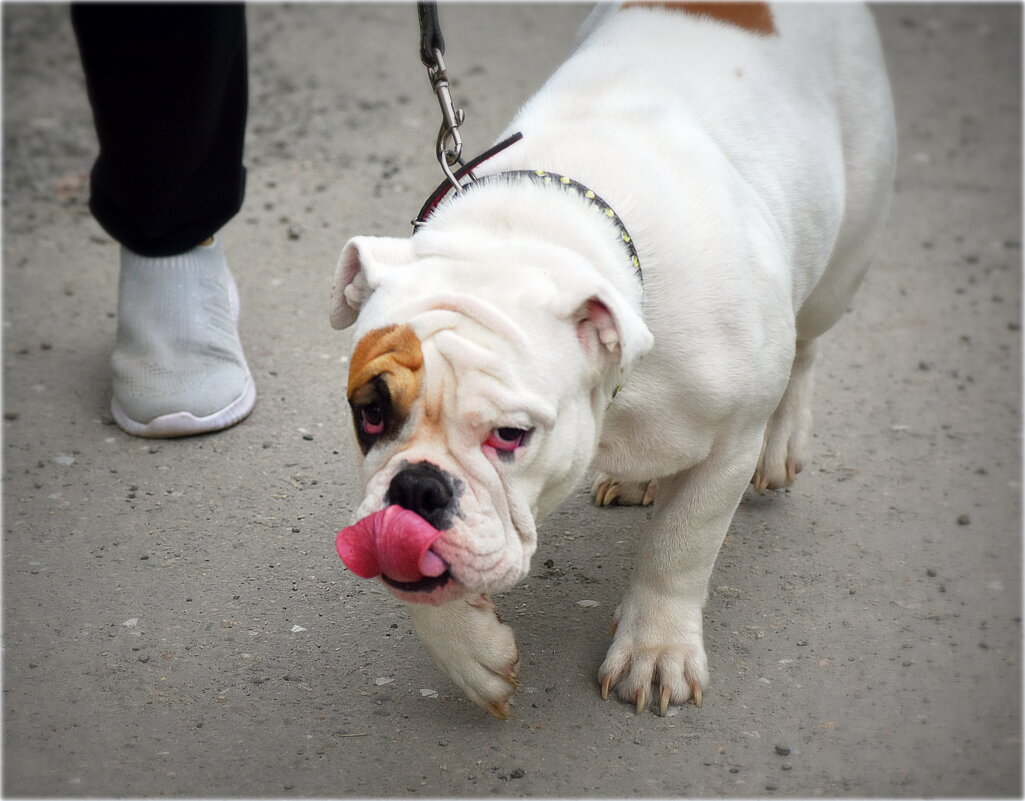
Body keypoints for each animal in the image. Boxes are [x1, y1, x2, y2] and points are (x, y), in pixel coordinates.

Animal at [330, 0, 897, 713]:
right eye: (370, 414)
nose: (419, 488)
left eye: (511, 436)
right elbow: (418, 586)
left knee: (809, 345)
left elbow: (679, 547)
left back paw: (783, 439)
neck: (532, 233)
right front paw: (470, 653)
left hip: (844, 259)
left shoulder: (729, 445)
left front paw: (657, 650)